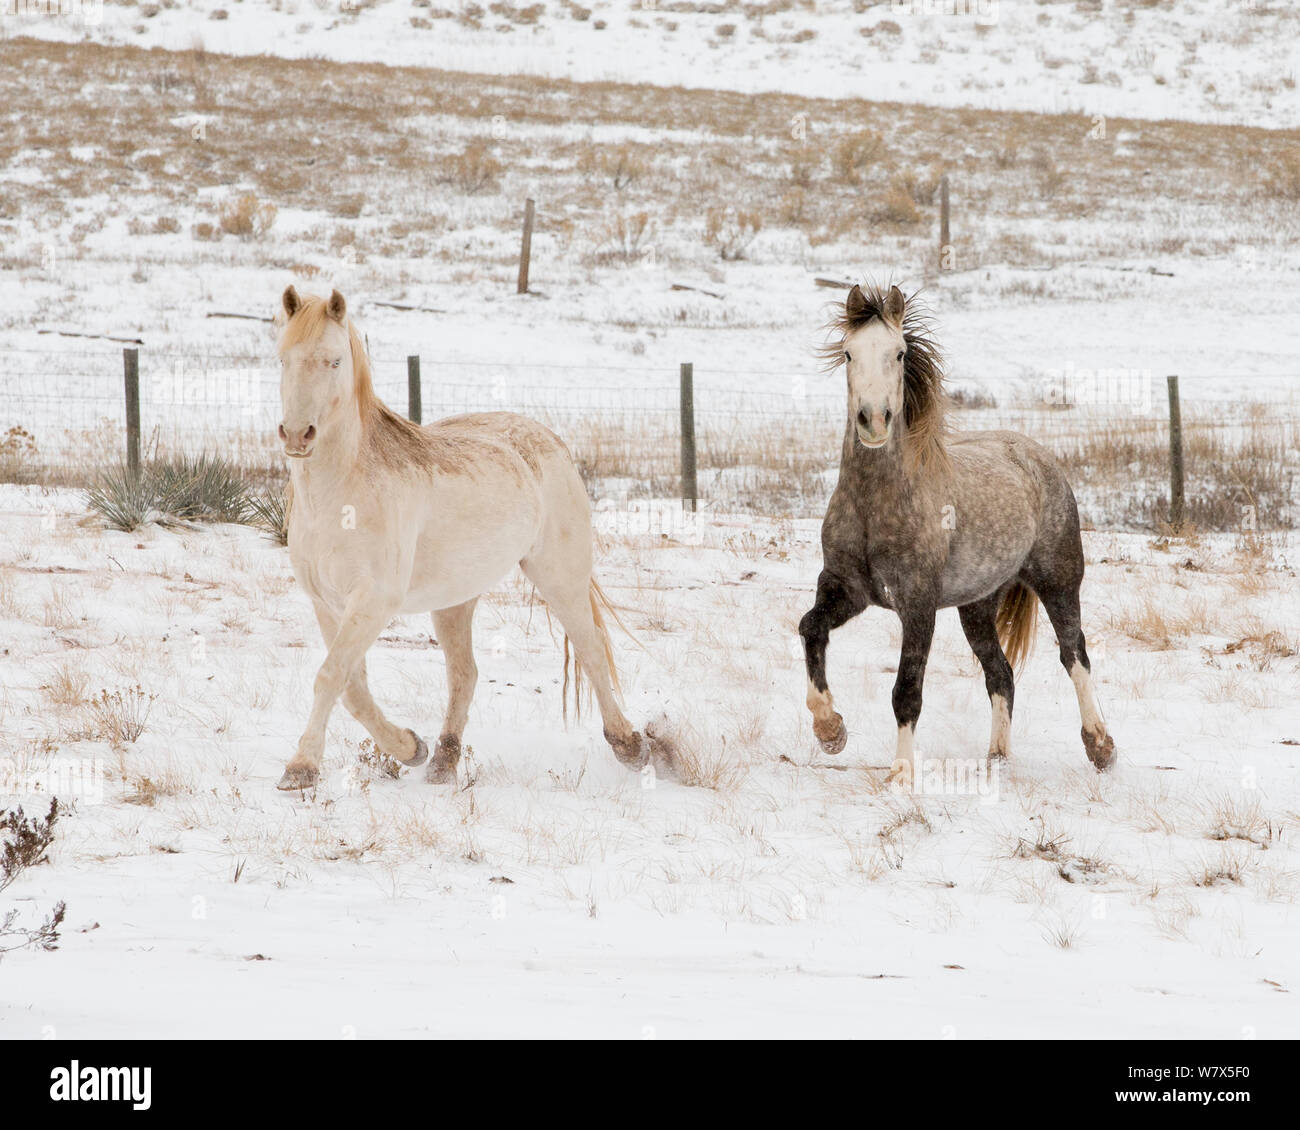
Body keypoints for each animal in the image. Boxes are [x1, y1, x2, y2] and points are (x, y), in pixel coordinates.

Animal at [273, 286, 650, 790]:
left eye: (334, 361)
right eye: (283, 359)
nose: (298, 435)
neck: (343, 493)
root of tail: (550, 439)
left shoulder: (373, 599)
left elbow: (331, 676)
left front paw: (301, 768)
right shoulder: (328, 603)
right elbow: (351, 688)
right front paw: (409, 747)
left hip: (559, 578)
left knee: (590, 652)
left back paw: (630, 746)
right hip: (455, 599)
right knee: (464, 674)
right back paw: (443, 760)